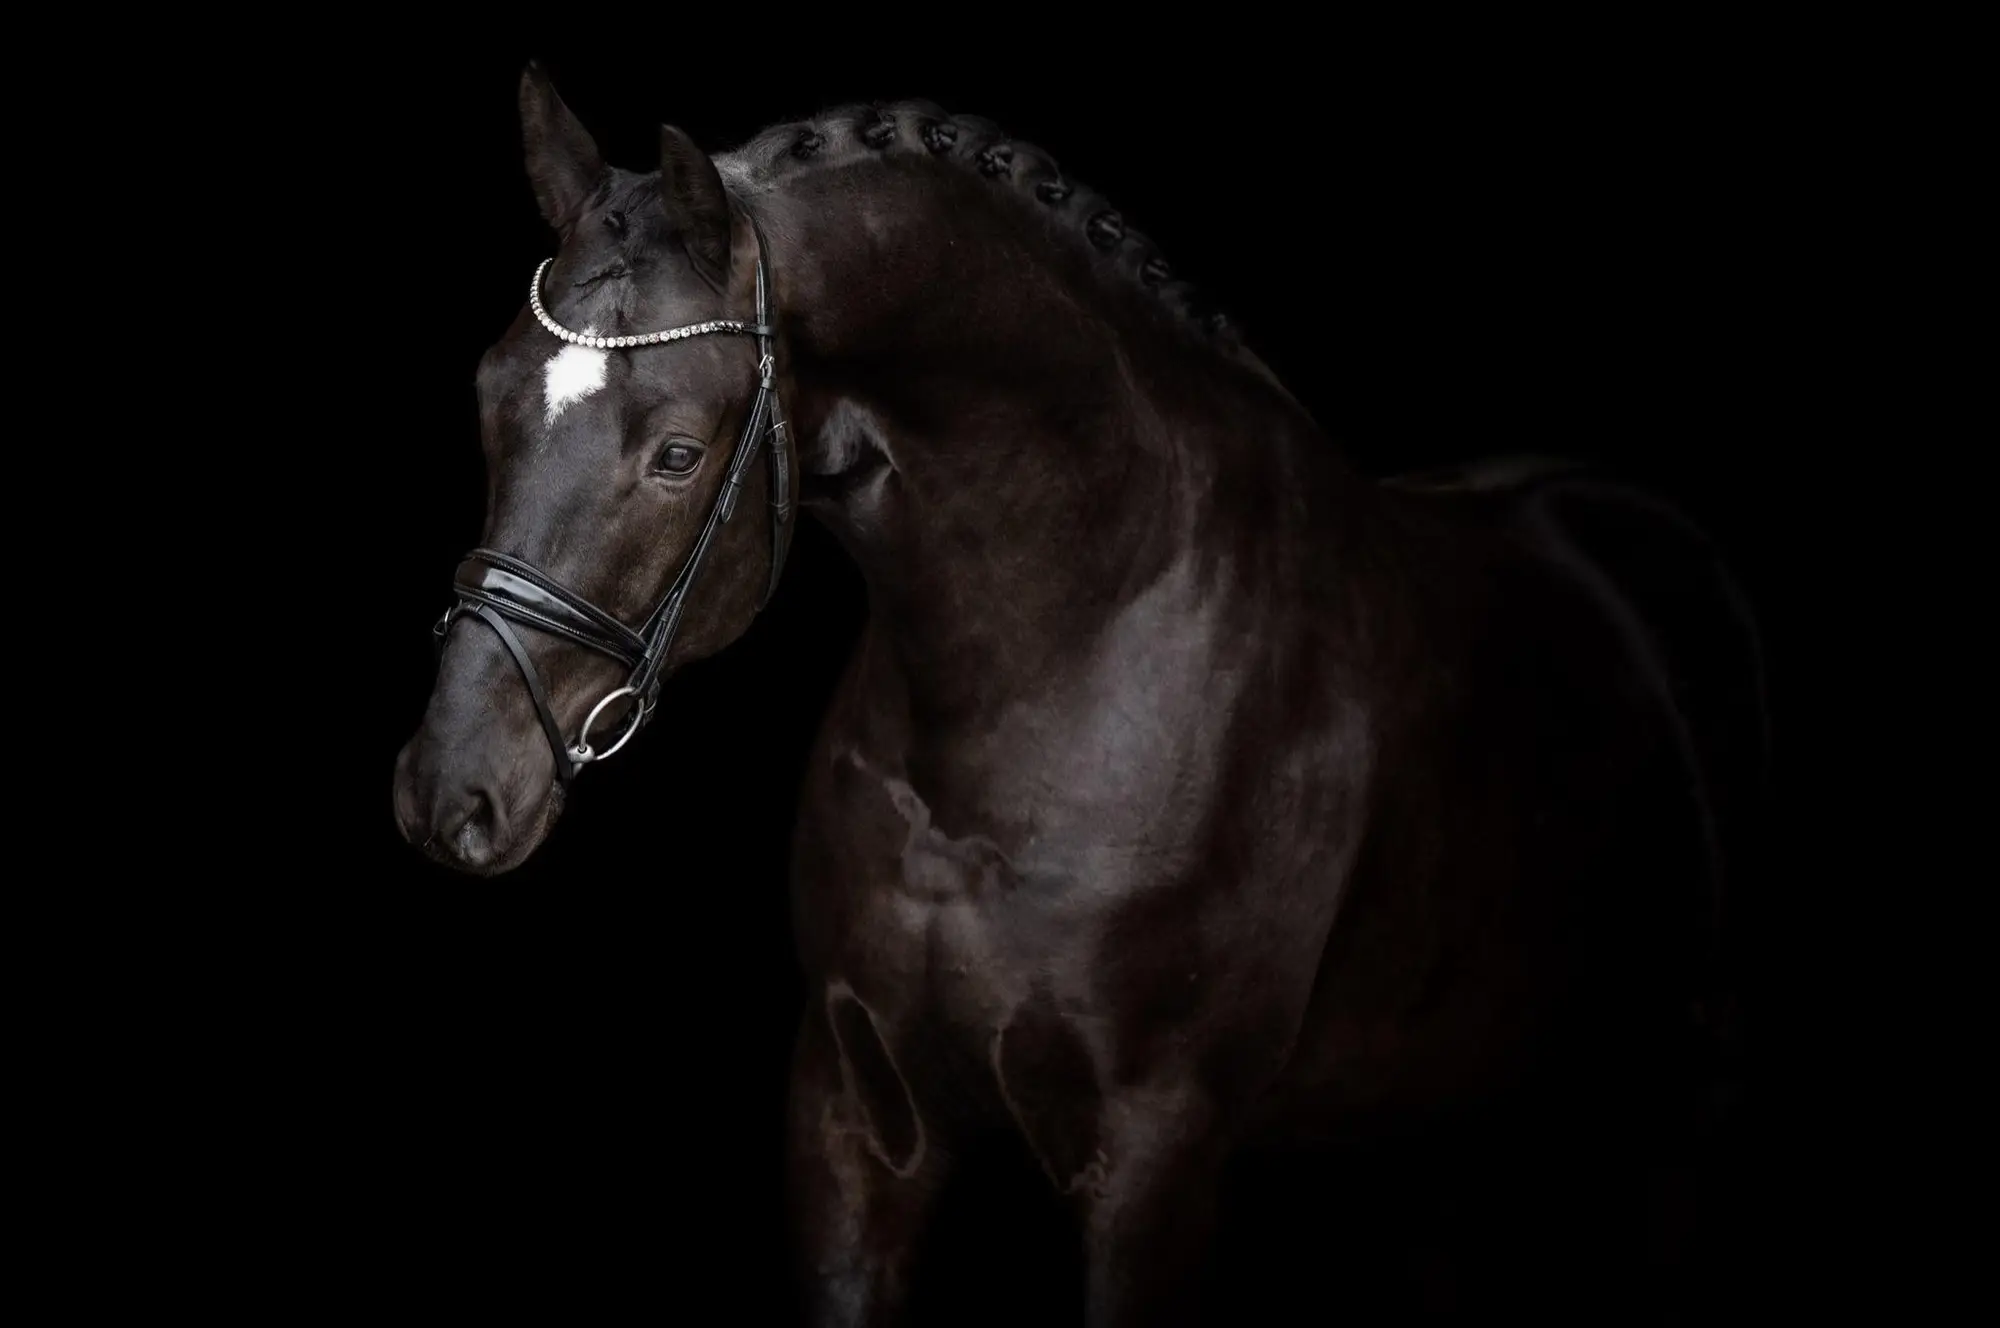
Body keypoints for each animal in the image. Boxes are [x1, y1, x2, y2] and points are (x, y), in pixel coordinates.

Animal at [391, 64, 1765, 1326]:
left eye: (676, 451)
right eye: (488, 394)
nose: (448, 788)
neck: (1068, 654)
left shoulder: (1156, 1160)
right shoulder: (851, 1114)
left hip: (1675, 1115)